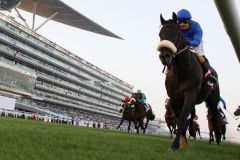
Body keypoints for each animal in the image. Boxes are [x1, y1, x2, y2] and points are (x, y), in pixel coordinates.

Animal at [158, 12, 221, 150]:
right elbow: (179, 120)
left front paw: (175, 145)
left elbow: (182, 119)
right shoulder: (174, 98)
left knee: (214, 117)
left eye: (176, 34)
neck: (182, 70)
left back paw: (218, 138)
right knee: (192, 115)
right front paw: (183, 142)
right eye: (160, 34)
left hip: (212, 100)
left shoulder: (191, 93)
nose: (164, 56)